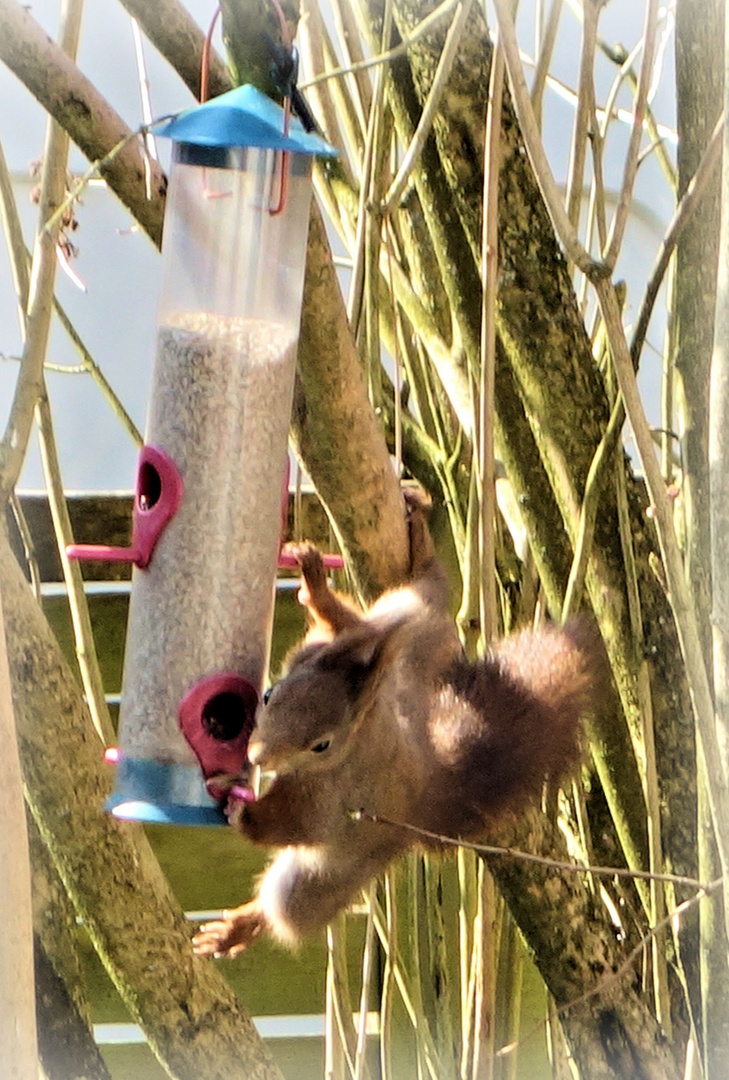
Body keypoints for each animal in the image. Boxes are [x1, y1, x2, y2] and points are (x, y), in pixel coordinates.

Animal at [194, 494, 600, 959]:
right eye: (268, 695)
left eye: (322, 745)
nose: (258, 756)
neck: (365, 722)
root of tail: (427, 789)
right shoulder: (347, 649)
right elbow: (342, 627)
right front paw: (315, 583)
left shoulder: (333, 799)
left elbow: (289, 826)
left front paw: (242, 811)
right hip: (415, 628)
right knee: (421, 595)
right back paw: (417, 543)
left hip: (331, 873)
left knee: (286, 910)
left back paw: (237, 928)